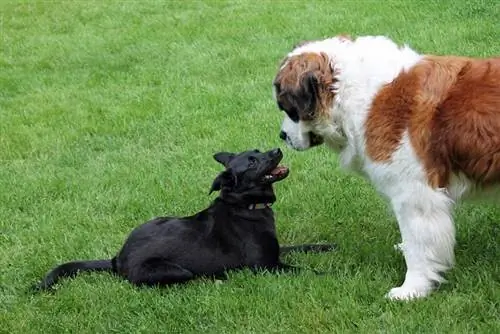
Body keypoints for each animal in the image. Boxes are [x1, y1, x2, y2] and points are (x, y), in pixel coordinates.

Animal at [33, 148, 334, 290]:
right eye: (251, 162)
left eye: (258, 151)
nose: (277, 149)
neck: (246, 205)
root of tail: (117, 259)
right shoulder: (266, 267)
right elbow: (307, 271)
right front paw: (337, 275)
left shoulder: (276, 252)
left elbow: (302, 247)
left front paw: (327, 247)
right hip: (175, 271)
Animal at [274, 35, 500, 302]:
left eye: (287, 108)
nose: (282, 135)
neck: (353, 92)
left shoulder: (414, 194)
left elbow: (418, 244)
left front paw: (412, 289)